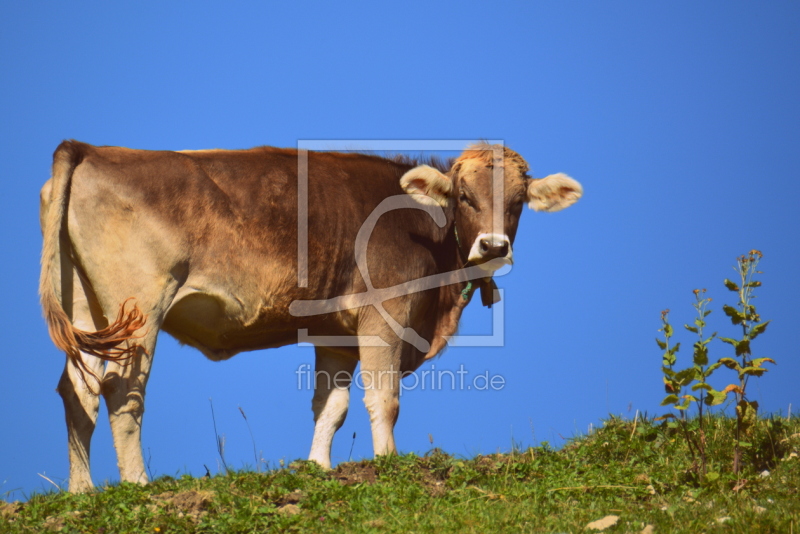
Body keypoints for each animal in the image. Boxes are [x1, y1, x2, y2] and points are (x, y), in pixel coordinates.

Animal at [39, 141, 580, 494]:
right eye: (465, 197)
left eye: (517, 203)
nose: (494, 246)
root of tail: (92, 148)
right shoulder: (384, 316)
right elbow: (383, 399)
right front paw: (386, 464)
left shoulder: (334, 334)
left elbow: (330, 407)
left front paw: (318, 468)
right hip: (139, 307)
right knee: (122, 391)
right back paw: (138, 485)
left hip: (87, 309)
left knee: (78, 391)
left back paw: (82, 492)